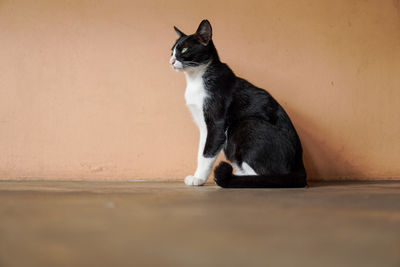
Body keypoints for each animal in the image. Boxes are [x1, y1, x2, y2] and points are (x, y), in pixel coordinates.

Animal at [169, 19, 306, 188]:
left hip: (245, 124)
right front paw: (198, 176)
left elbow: (207, 153)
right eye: (172, 51)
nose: (171, 61)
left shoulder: (217, 123)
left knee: (269, 175)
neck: (196, 79)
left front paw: (198, 179)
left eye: (184, 49)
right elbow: (201, 150)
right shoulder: (204, 126)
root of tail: (300, 164)